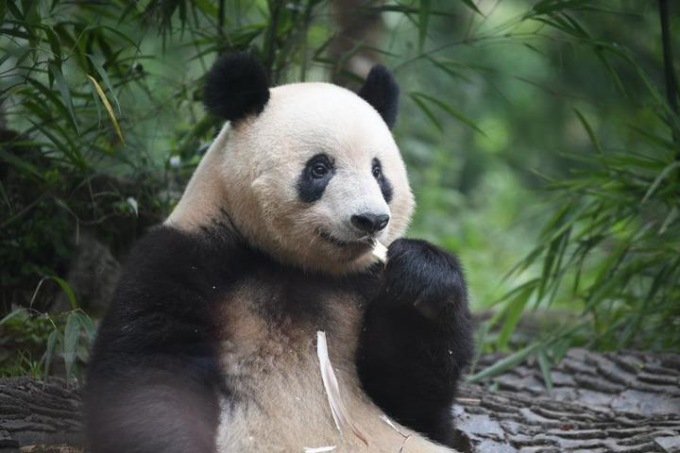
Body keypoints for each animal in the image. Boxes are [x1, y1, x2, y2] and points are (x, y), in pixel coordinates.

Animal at [85, 52, 474, 453]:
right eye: (320, 168)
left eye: (378, 172)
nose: (371, 220)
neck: (295, 265)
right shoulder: (184, 259)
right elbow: (151, 374)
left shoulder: (363, 284)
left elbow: (410, 394)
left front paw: (421, 277)